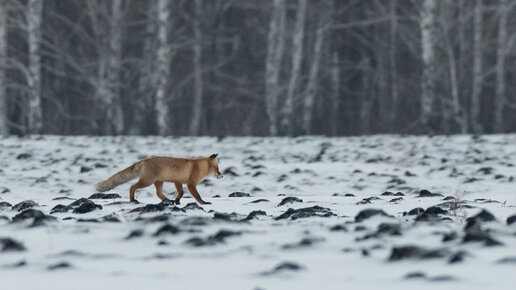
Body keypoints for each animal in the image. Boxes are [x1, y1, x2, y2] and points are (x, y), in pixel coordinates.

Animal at [95, 154, 223, 204]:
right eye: (218, 169)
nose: (222, 176)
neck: (199, 167)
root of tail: (144, 160)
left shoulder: (178, 181)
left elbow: (181, 193)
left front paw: (177, 201)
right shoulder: (190, 184)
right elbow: (197, 196)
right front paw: (204, 203)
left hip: (158, 182)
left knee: (158, 193)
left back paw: (167, 200)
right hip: (147, 181)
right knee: (132, 187)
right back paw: (132, 200)